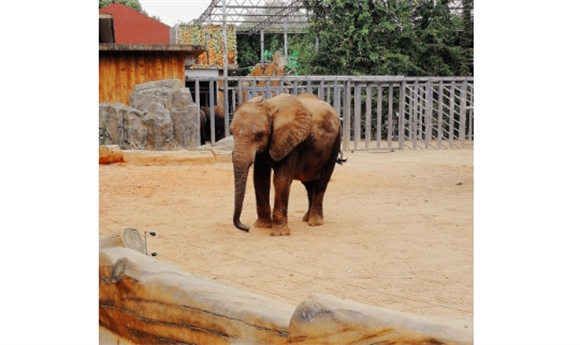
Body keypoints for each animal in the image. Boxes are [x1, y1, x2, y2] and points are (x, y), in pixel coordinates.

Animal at [229, 92, 342, 235]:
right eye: (232, 133)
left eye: (259, 135)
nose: (247, 228)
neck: (267, 105)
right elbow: (260, 179)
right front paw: (262, 226)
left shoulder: (290, 140)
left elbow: (281, 180)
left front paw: (279, 233)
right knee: (308, 183)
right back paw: (306, 218)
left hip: (336, 142)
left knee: (322, 182)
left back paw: (314, 222)